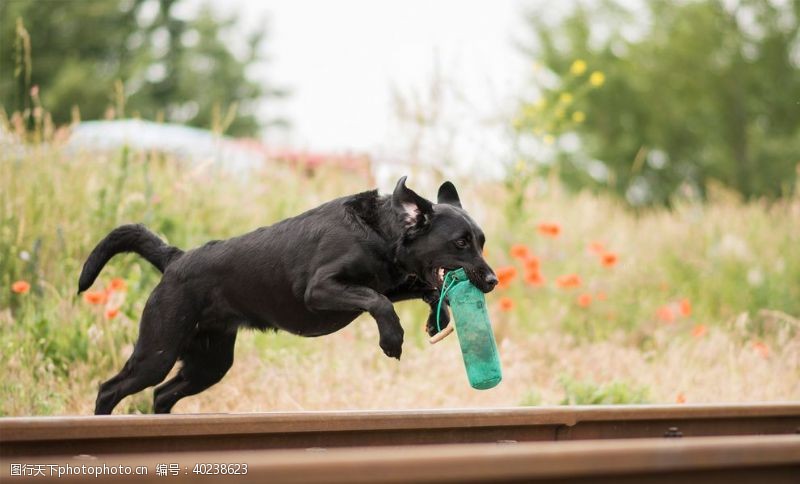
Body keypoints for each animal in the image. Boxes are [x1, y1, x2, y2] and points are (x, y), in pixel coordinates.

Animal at [78, 176, 496, 414]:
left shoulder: (390, 283)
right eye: (460, 243)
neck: (379, 232)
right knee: (109, 390)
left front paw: (437, 318)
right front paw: (392, 340)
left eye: (481, 241)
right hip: (158, 351)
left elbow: (426, 289)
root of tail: (175, 258)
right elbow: (377, 302)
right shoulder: (321, 288)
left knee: (163, 395)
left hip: (209, 362)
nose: (492, 281)